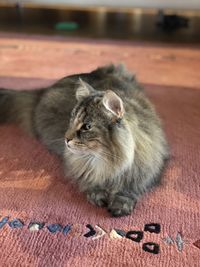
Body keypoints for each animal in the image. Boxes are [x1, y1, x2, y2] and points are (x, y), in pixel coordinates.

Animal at [0, 64, 169, 218]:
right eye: (72, 120)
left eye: (87, 127)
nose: (66, 139)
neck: (106, 162)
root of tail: (41, 93)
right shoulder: (79, 168)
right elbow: (89, 180)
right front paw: (97, 194)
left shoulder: (146, 170)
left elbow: (130, 188)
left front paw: (121, 204)